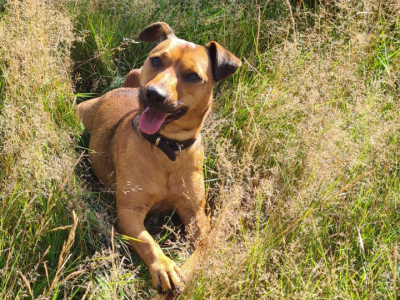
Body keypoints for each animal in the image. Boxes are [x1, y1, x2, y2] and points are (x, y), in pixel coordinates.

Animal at [77, 22, 241, 292]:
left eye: (193, 76)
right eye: (155, 60)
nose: (153, 94)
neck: (167, 149)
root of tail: (127, 87)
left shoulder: (196, 213)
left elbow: (203, 245)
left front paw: (191, 267)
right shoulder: (129, 213)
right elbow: (147, 240)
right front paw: (164, 266)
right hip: (81, 111)